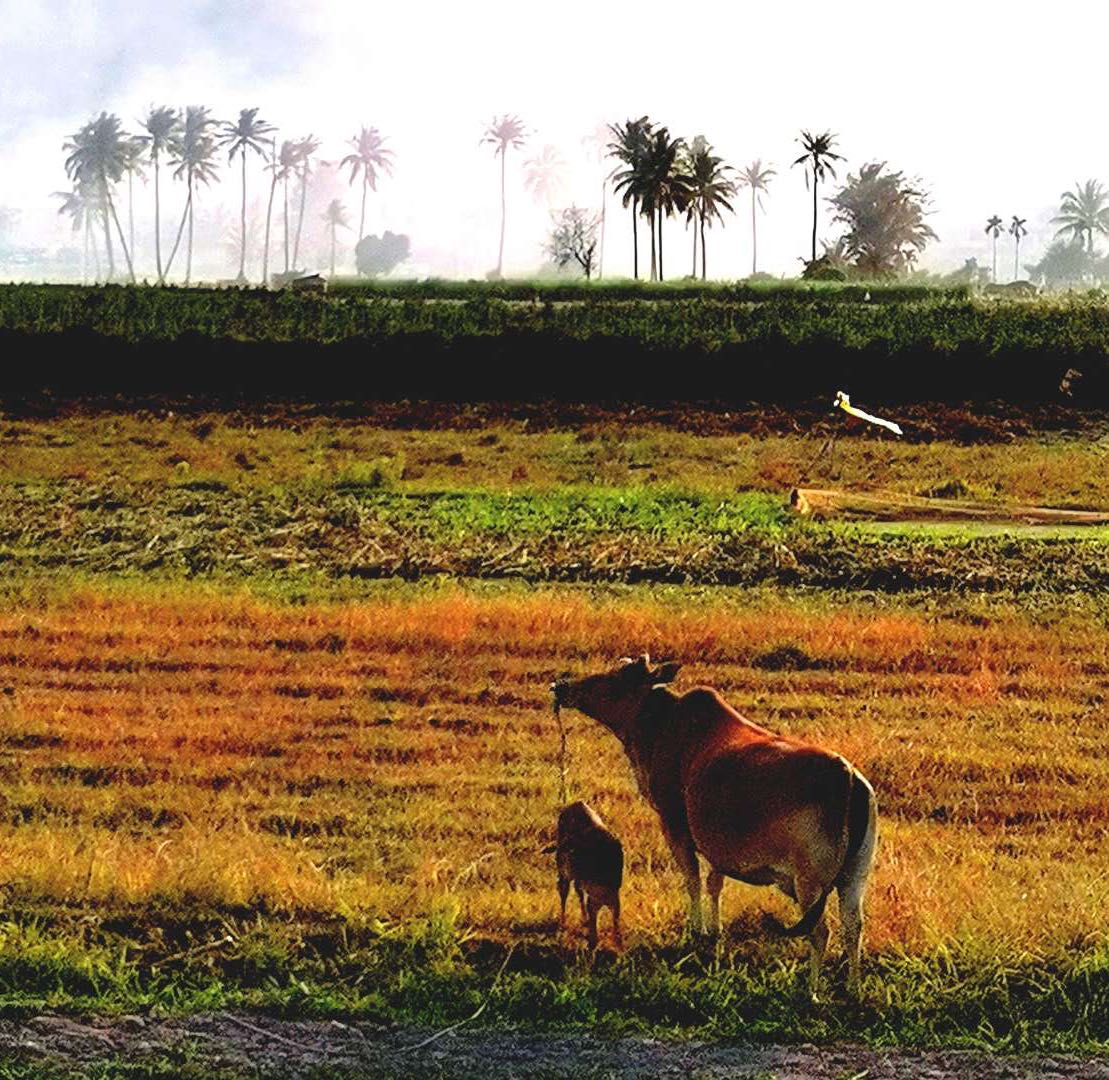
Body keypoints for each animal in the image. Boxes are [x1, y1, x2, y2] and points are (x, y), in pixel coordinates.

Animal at [547, 798, 625, 949]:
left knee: (577, 891)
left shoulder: (613, 897)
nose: (562, 850)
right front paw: (592, 941)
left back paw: (582, 920)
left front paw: (618, 944)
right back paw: (563, 922)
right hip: (564, 875)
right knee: (564, 892)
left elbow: (616, 921)